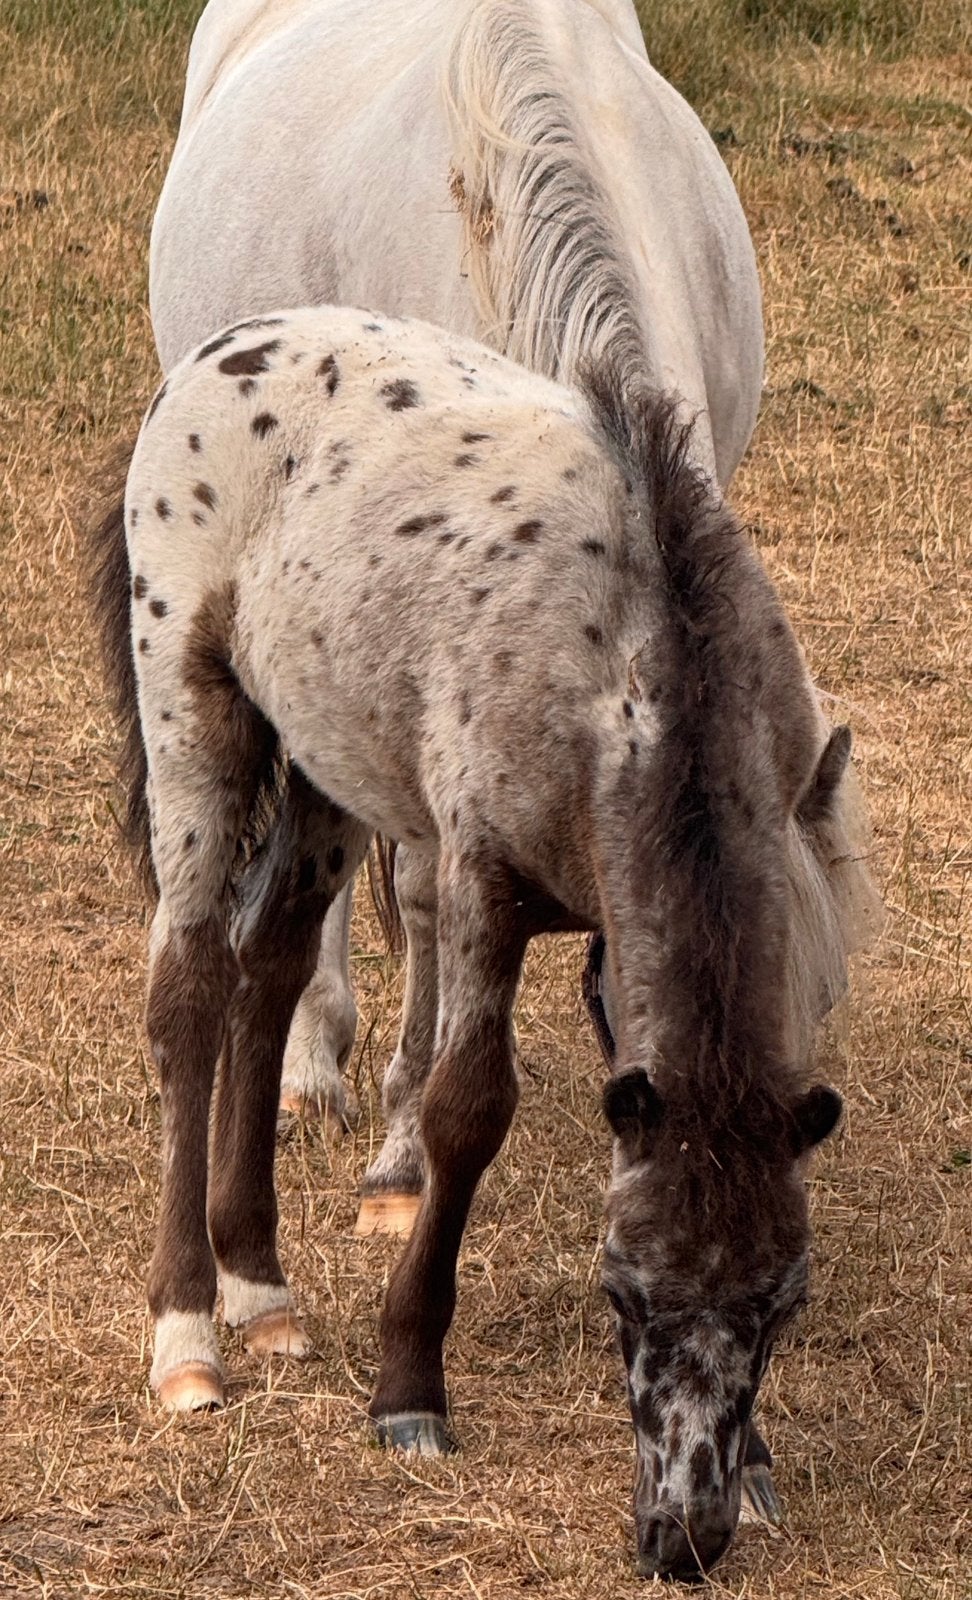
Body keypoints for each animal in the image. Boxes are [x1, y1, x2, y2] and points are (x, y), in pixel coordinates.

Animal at [93, 302, 874, 1580]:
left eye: (780, 1306)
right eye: (623, 1293)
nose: (682, 1537)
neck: (630, 658)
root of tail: (233, 343)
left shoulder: (623, 944)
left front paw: (758, 1468)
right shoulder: (479, 885)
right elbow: (466, 1108)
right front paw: (409, 1387)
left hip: (329, 770)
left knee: (271, 965)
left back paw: (264, 1287)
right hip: (197, 724)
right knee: (191, 993)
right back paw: (191, 1332)